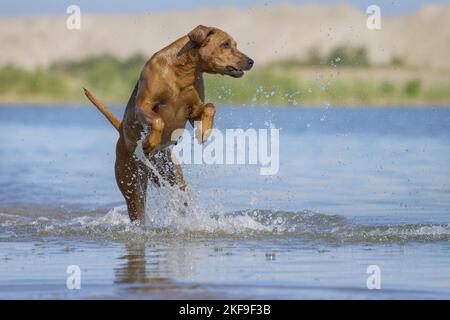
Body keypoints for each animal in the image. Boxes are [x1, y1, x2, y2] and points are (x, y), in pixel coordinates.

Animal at [83, 25, 253, 221]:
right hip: (131, 182)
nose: (251, 61)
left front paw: (204, 130)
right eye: (225, 45)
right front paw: (150, 141)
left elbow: (210, 106)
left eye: (235, 45)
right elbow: (158, 120)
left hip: (172, 175)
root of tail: (121, 132)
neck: (183, 72)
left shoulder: (194, 110)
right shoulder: (143, 106)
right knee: (137, 208)